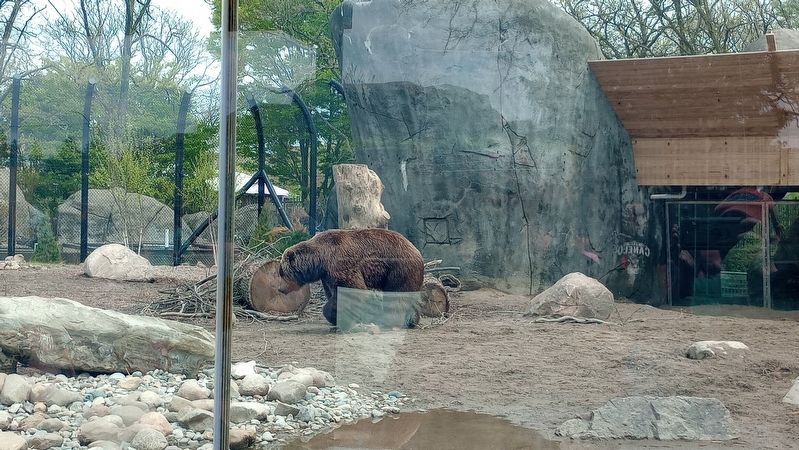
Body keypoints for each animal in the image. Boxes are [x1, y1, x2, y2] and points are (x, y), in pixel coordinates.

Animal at [277, 228, 425, 328]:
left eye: (282, 272)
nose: (279, 288)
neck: (319, 260)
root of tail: (417, 251)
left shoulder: (339, 264)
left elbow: (352, 290)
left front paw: (335, 316)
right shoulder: (326, 275)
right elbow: (332, 292)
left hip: (398, 269)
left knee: (396, 296)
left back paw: (389, 320)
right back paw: (412, 320)